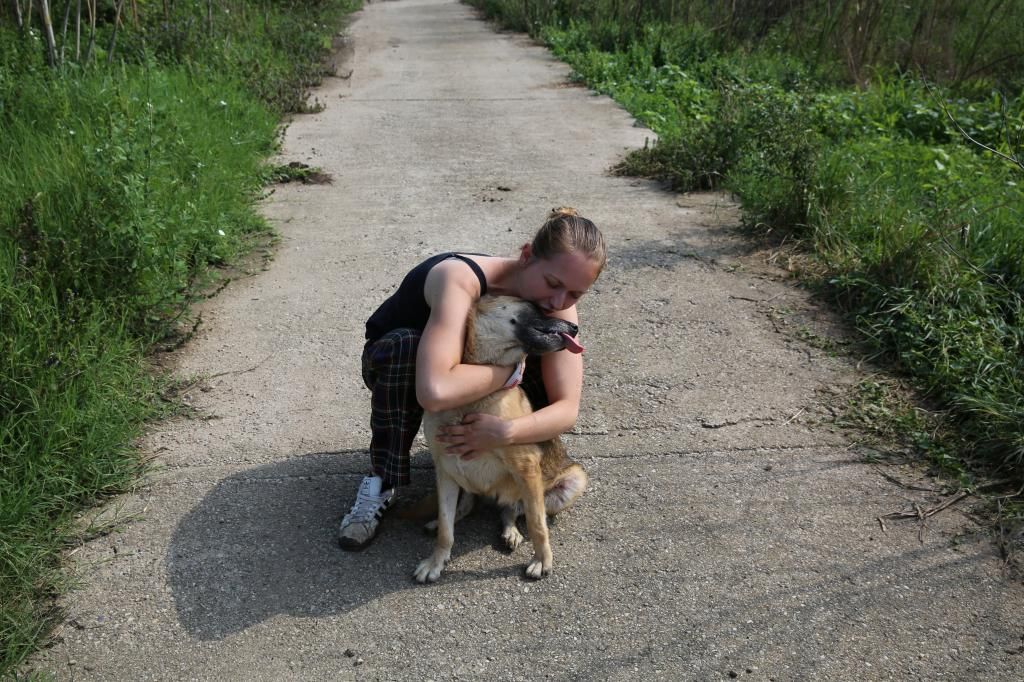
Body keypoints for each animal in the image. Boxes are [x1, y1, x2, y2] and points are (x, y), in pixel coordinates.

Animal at [411, 294, 589, 581]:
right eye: (535, 306)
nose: (575, 328)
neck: (469, 397)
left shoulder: (526, 467)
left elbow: (537, 524)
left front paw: (542, 560)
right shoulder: (445, 469)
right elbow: (447, 531)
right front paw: (436, 561)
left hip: (569, 482)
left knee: (513, 509)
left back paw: (511, 531)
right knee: (467, 507)